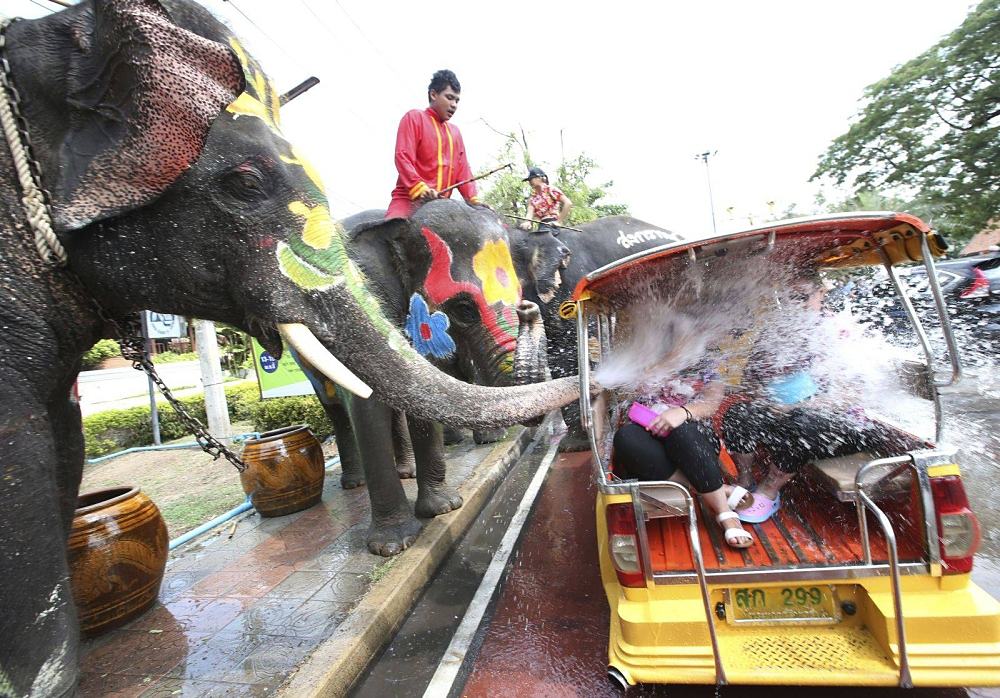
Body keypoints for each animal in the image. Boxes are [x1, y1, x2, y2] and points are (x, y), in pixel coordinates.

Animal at [292, 200, 552, 556]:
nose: (530, 309)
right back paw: (355, 483)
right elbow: (366, 404)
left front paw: (443, 508)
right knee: (335, 408)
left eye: (519, 294)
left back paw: (406, 471)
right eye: (463, 309)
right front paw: (393, 546)